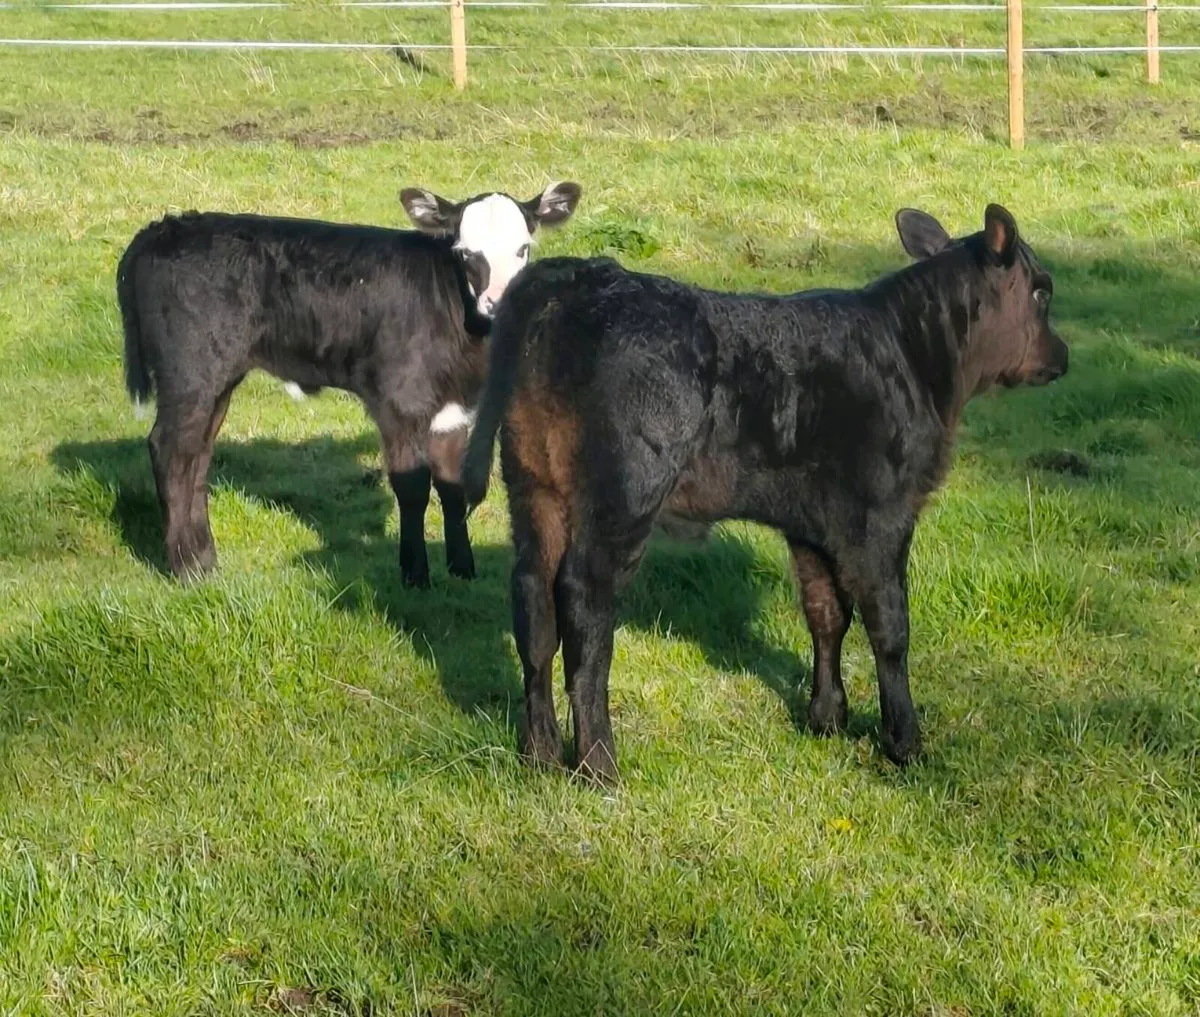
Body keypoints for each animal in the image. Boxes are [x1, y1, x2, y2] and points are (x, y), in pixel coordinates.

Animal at [116, 182, 582, 586]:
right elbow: (412, 488)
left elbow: (452, 488)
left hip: (218, 378)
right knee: (169, 450)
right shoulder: (400, 402)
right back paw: (184, 568)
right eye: (466, 252)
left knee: (197, 456)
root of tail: (163, 228)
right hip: (189, 372)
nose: (496, 302)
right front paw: (415, 575)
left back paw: (205, 561)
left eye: (523, 248)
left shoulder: (452, 410)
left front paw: (462, 569)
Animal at [461, 204, 1069, 782]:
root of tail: (579, 276)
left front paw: (826, 717)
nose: (1061, 357)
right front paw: (904, 743)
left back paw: (539, 754)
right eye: (1041, 290)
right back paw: (598, 765)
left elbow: (826, 613)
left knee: (533, 605)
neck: (915, 359)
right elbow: (890, 628)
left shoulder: (812, 522)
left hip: (534, 488)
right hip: (623, 496)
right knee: (584, 608)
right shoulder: (882, 515)